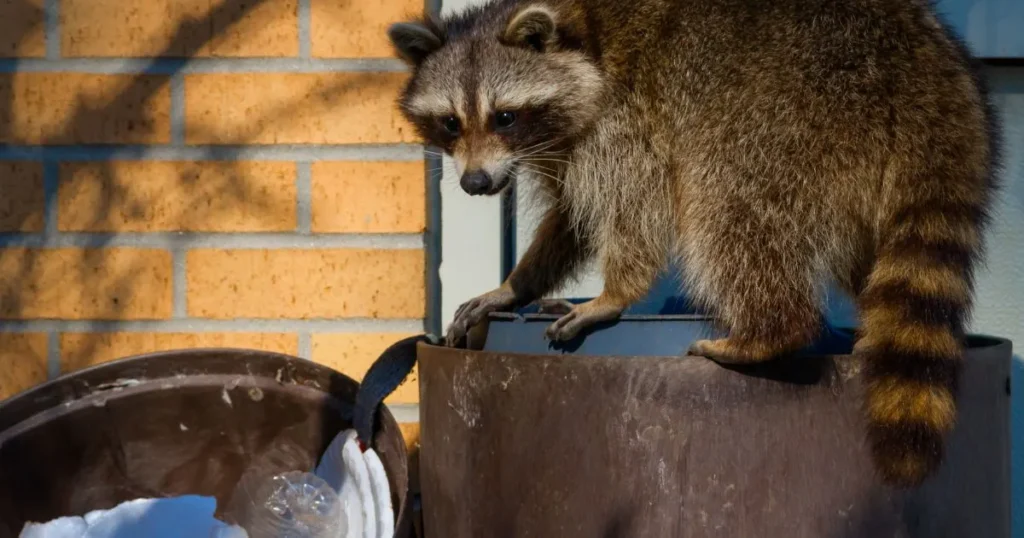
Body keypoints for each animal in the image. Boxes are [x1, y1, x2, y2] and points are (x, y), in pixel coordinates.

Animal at [389, 0, 999, 485]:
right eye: (449, 123)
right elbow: (572, 219)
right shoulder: (568, 144)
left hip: (790, 111)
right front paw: (516, 284)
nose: (475, 183)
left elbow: (635, 206)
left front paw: (616, 292)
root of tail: (925, 68)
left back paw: (770, 330)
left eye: (506, 116)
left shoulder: (624, 120)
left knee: (727, 203)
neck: (582, 38)